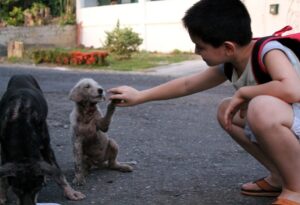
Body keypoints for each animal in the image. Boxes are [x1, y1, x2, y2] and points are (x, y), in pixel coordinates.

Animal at [0, 75, 85, 205]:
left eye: (37, 188)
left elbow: (59, 173)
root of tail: (21, 74)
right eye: (16, 189)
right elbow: (3, 177)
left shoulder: (46, 146)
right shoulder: (4, 148)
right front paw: (2, 196)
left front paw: (70, 192)